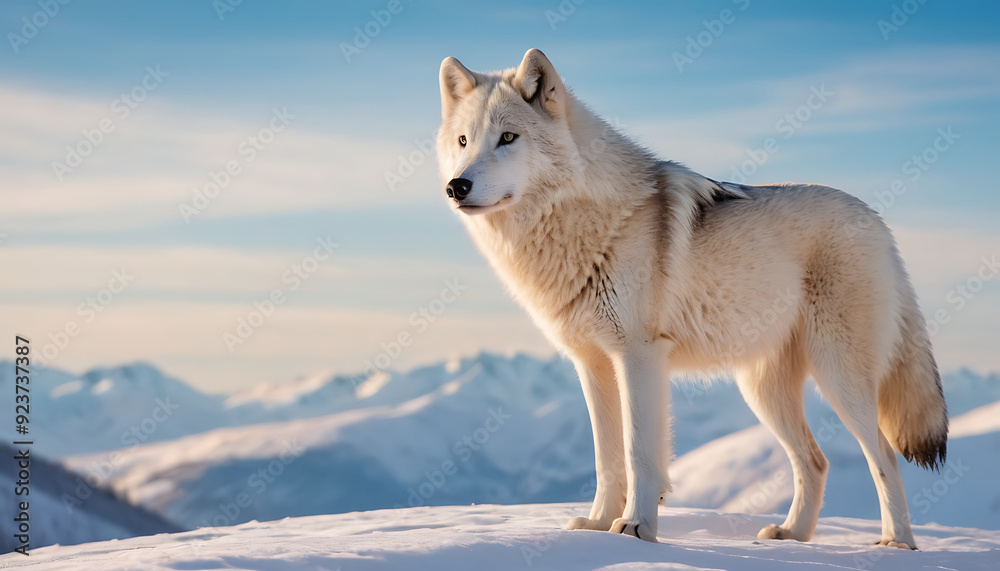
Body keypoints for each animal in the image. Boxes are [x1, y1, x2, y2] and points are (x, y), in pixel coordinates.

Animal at [435, 48, 947, 548]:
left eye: (507, 137)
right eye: (463, 141)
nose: (456, 186)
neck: (584, 221)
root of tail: (880, 224)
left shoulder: (639, 356)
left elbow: (639, 453)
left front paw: (636, 529)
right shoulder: (593, 365)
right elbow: (607, 459)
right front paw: (598, 526)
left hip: (838, 378)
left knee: (883, 455)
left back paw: (896, 544)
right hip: (763, 391)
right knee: (815, 461)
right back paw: (792, 536)